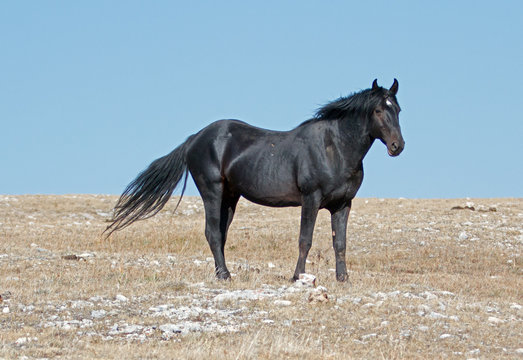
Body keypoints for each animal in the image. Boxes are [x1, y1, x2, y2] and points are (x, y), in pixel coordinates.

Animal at [106, 80, 406, 282]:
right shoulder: (311, 199)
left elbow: (340, 243)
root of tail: (195, 138)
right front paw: (297, 277)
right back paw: (224, 275)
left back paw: (222, 272)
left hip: (230, 197)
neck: (334, 147)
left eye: (398, 110)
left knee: (221, 235)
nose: (397, 146)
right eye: (378, 110)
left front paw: (343, 279)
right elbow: (305, 239)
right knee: (212, 233)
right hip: (212, 192)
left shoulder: (343, 204)